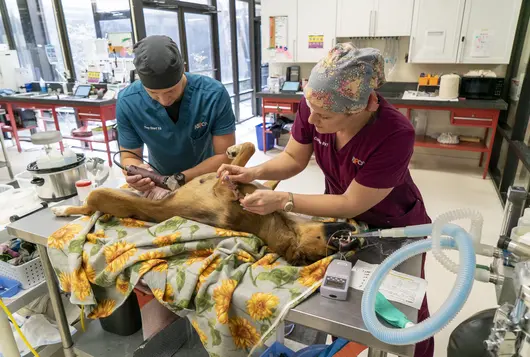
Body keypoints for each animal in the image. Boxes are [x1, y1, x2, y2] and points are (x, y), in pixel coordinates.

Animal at [52, 142, 354, 264]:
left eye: (324, 252)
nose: (357, 240)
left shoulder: (222, 186)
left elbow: (243, 155)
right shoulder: (255, 183)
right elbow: (253, 162)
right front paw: (235, 153)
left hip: (104, 196)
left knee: (89, 207)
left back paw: (62, 208)